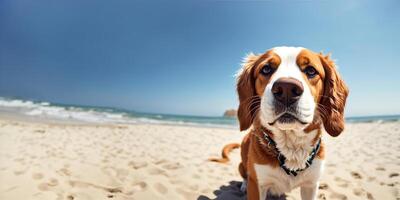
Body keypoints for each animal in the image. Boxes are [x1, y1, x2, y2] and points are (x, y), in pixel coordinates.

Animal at [211, 46, 348, 200]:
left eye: (311, 70)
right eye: (266, 69)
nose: (286, 89)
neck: (291, 146)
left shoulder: (311, 185)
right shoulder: (257, 184)